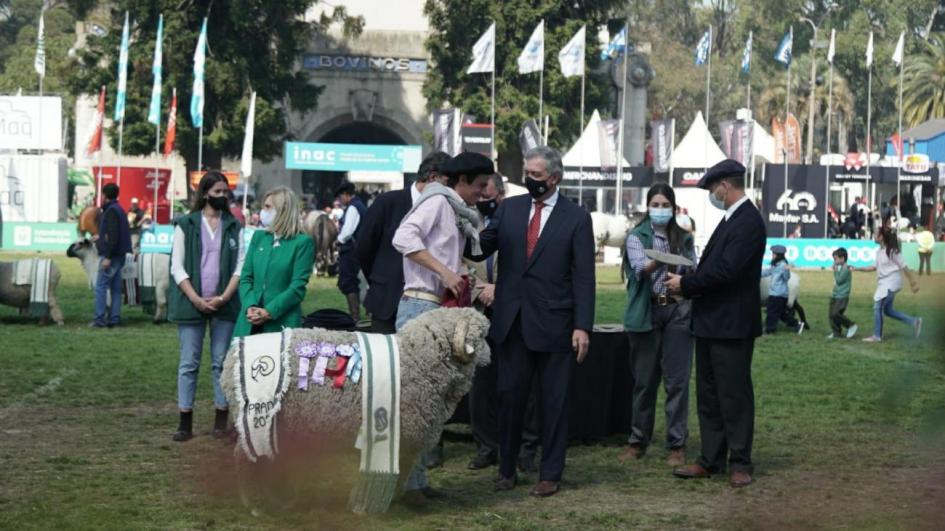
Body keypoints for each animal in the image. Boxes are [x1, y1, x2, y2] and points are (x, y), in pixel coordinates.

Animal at [218, 308, 490, 516]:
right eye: (482, 336)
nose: (491, 356)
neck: (418, 361)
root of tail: (231, 358)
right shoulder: (402, 437)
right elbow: (399, 471)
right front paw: (384, 502)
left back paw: (283, 498)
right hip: (259, 421)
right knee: (246, 459)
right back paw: (256, 504)